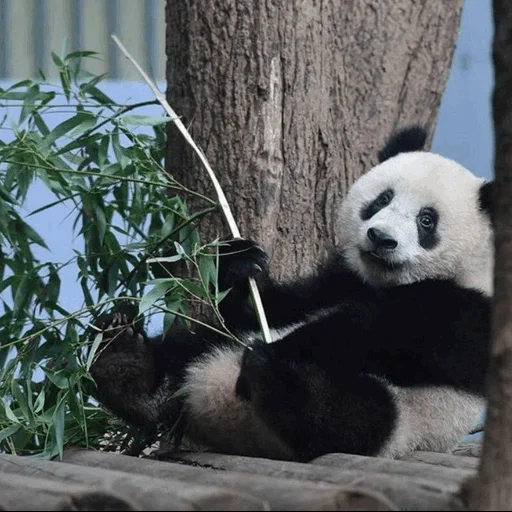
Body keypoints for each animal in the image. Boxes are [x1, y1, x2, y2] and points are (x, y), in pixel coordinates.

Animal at [90, 126, 494, 462]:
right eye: (382, 199)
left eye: (426, 220)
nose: (381, 238)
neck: (387, 280)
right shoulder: (339, 277)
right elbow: (280, 305)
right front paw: (241, 263)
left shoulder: (466, 310)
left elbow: (376, 332)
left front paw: (283, 348)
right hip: (209, 348)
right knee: (186, 351)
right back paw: (124, 361)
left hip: (410, 419)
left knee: (349, 416)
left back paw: (269, 372)